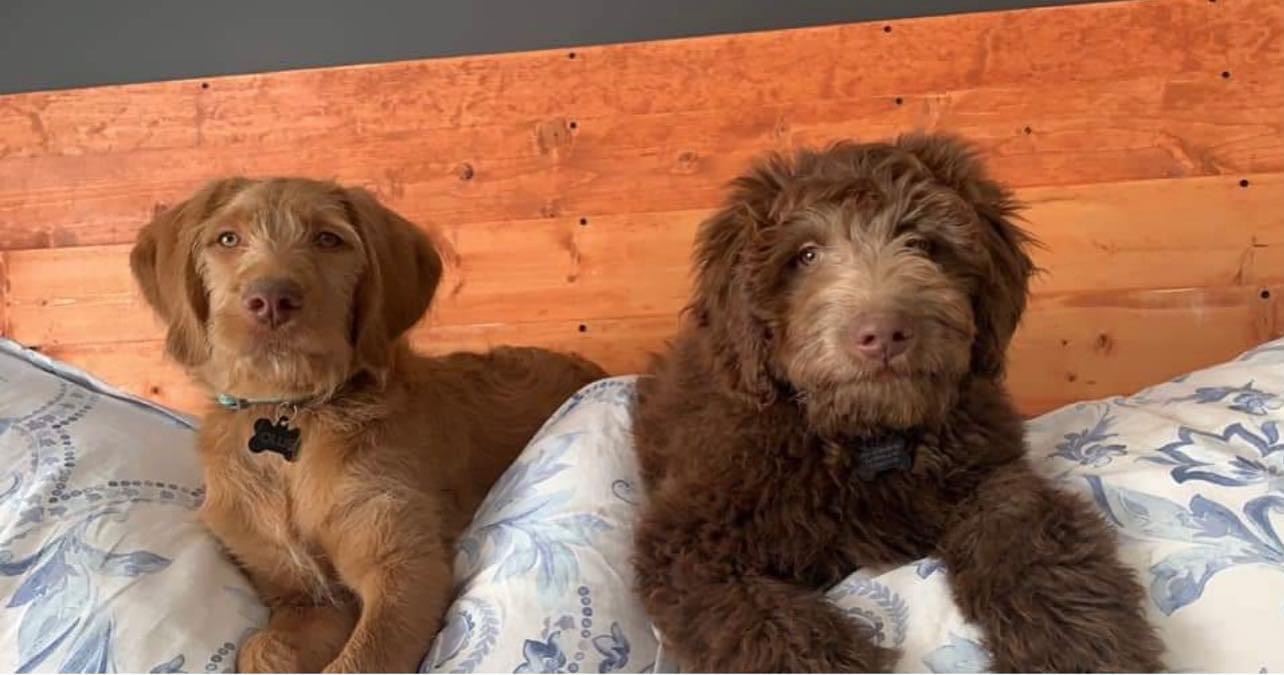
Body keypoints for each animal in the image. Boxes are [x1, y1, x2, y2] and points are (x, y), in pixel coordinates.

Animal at [130, 178, 604, 672]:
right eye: (227, 239)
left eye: (328, 239)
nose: (272, 301)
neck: (293, 416)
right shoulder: (307, 600)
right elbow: (262, 649)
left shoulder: (405, 566)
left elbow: (362, 660)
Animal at [631, 134, 1164, 672]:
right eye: (806, 255)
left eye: (924, 245)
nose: (883, 333)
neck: (868, 441)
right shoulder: (689, 541)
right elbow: (764, 623)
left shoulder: (990, 472)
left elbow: (1031, 540)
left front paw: (1080, 646)